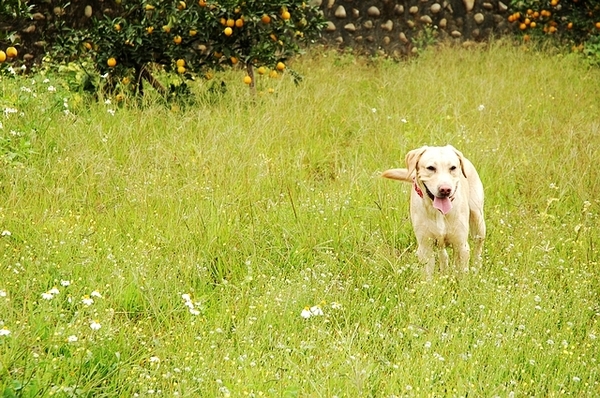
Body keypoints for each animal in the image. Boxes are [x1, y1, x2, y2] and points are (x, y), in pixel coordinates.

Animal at [382, 145, 486, 278]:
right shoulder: (425, 246)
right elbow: (427, 276)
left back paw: (477, 270)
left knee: (478, 249)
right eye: (431, 168)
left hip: (478, 221)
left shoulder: (461, 246)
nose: (445, 189)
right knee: (443, 254)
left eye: (453, 167)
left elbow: (461, 275)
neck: (438, 212)